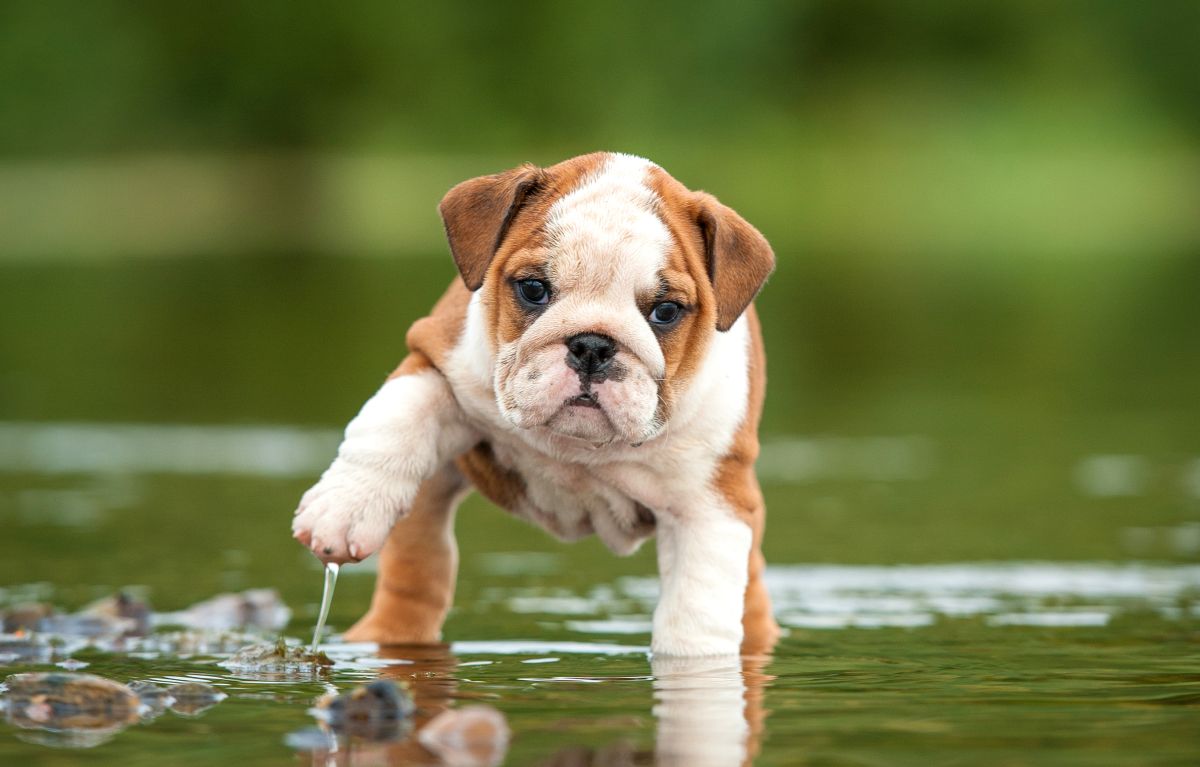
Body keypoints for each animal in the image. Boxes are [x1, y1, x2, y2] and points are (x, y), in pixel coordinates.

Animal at [290, 153, 777, 657]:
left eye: (665, 311)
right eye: (533, 288)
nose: (592, 345)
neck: (577, 447)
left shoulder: (710, 504)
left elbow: (695, 611)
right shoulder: (437, 359)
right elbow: (392, 423)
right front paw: (345, 508)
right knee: (419, 568)